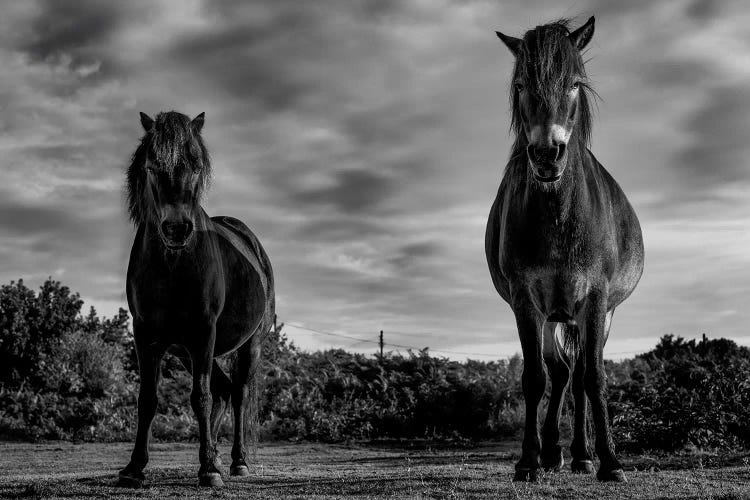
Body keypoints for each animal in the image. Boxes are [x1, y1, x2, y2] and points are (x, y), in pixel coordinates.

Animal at [115, 110, 274, 488]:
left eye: (197, 165)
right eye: (151, 165)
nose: (177, 229)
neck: (172, 266)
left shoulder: (203, 331)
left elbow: (199, 397)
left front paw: (209, 470)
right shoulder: (146, 335)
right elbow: (147, 398)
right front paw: (133, 468)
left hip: (248, 344)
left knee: (238, 393)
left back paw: (236, 462)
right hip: (189, 352)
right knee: (223, 390)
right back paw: (214, 453)